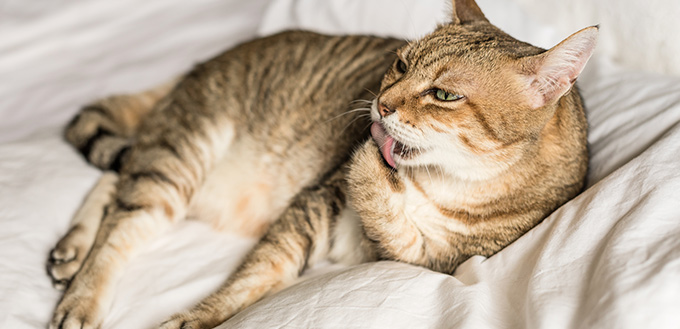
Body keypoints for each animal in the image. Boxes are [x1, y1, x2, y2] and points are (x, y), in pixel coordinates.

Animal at [46, 1, 596, 326]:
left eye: (443, 95)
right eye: (400, 64)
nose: (381, 106)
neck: (444, 185)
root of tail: (198, 68)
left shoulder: (428, 258)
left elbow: (397, 228)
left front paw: (374, 168)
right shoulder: (319, 200)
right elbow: (255, 273)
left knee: (119, 180)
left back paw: (70, 251)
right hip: (184, 150)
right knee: (123, 216)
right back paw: (79, 288)